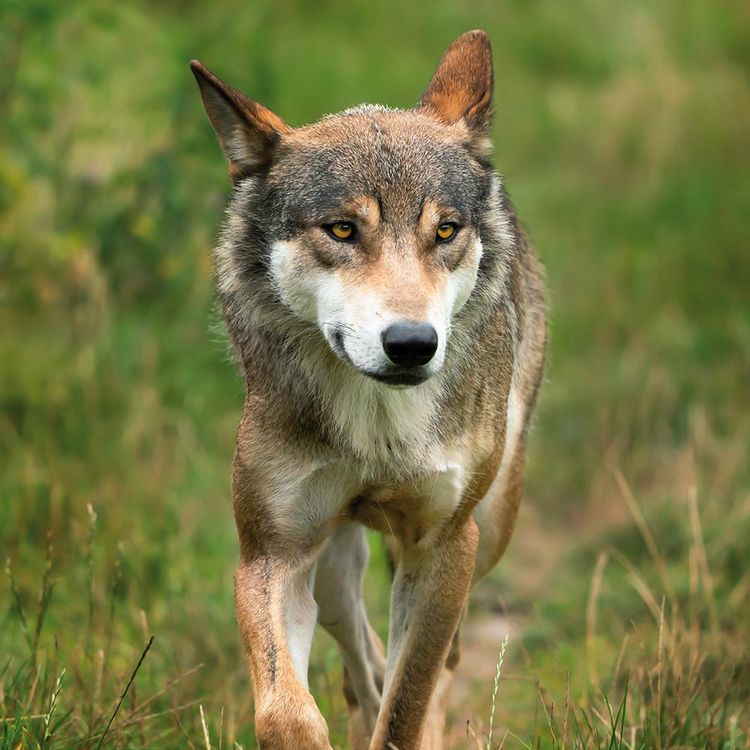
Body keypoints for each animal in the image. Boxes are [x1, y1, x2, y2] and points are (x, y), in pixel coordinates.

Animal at [190, 29, 546, 750]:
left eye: (445, 230)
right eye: (342, 229)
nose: (411, 344)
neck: (380, 427)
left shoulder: (444, 548)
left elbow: (408, 706)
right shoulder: (269, 554)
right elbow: (285, 711)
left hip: (491, 524)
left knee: (440, 663)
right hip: (331, 561)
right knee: (360, 655)